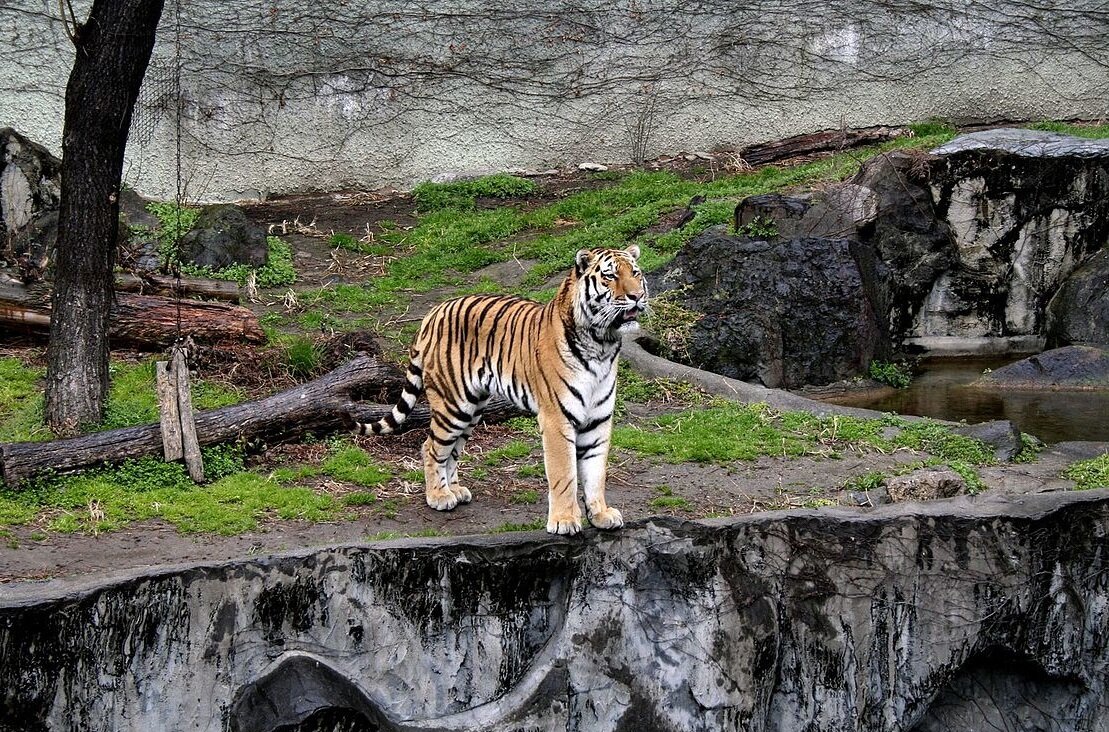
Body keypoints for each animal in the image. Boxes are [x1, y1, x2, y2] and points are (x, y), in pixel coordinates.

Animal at [350, 247, 647, 536]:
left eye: (635, 273)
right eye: (610, 276)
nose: (637, 296)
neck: (601, 344)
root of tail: (434, 312)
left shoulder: (599, 420)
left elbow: (596, 473)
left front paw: (601, 515)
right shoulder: (557, 420)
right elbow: (564, 474)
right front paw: (564, 521)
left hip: (472, 408)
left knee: (452, 451)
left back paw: (454, 490)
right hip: (452, 404)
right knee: (431, 447)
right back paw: (438, 496)